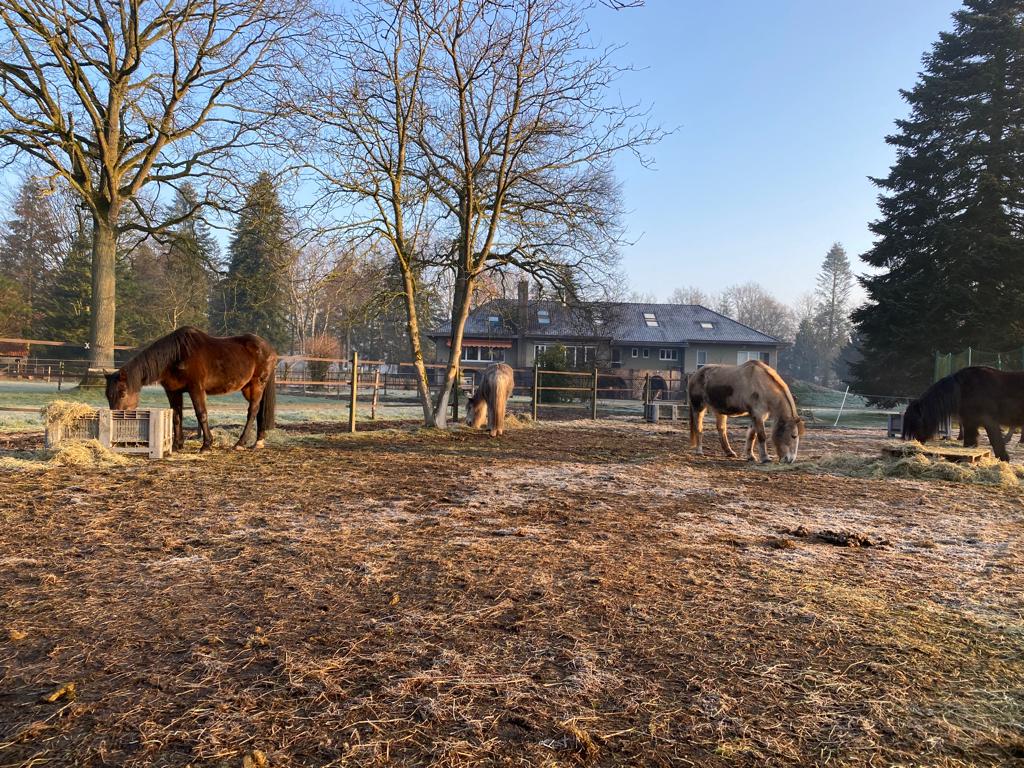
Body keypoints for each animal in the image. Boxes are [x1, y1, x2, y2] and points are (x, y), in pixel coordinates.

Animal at [103, 329, 276, 450]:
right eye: (107, 395)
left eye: (123, 393)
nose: (115, 416)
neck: (177, 355)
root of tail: (269, 348)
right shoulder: (173, 392)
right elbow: (176, 416)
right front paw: (177, 445)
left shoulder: (196, 389)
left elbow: (201, 414)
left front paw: (206, 444)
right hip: (248, 388)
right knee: (259, 411)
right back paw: (258, 441)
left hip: (256, 385)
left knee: (252, 411)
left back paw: (240, 443)